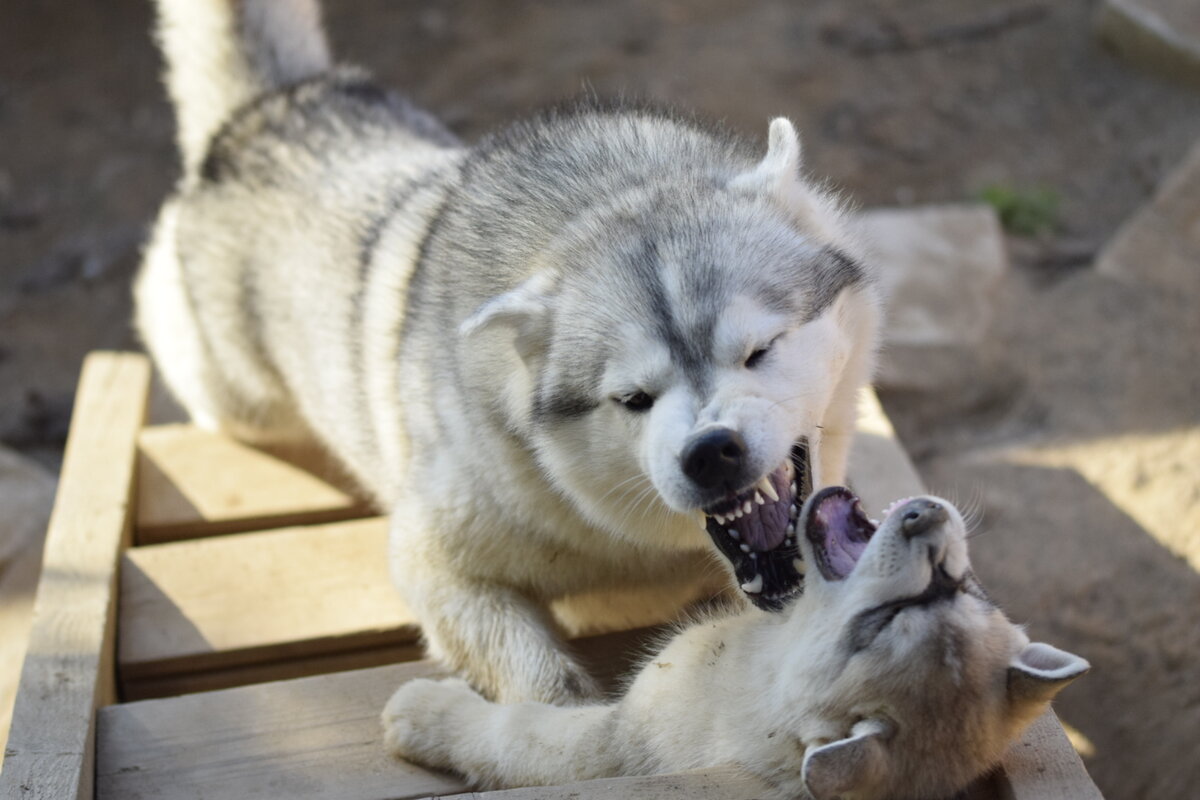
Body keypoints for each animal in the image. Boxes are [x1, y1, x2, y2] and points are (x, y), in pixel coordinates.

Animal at [138, 0, 883, 700]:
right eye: (632, 399)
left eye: (759, 350)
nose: (709, 452)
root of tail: (270, 108)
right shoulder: (436, 562)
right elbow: (543, 686)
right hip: (236, 400)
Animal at [384, 491, 1089, 796]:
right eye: (957, 585)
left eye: (882, 621)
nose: (925, 516)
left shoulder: (610, 743)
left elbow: (515, 735)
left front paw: (419, 714)